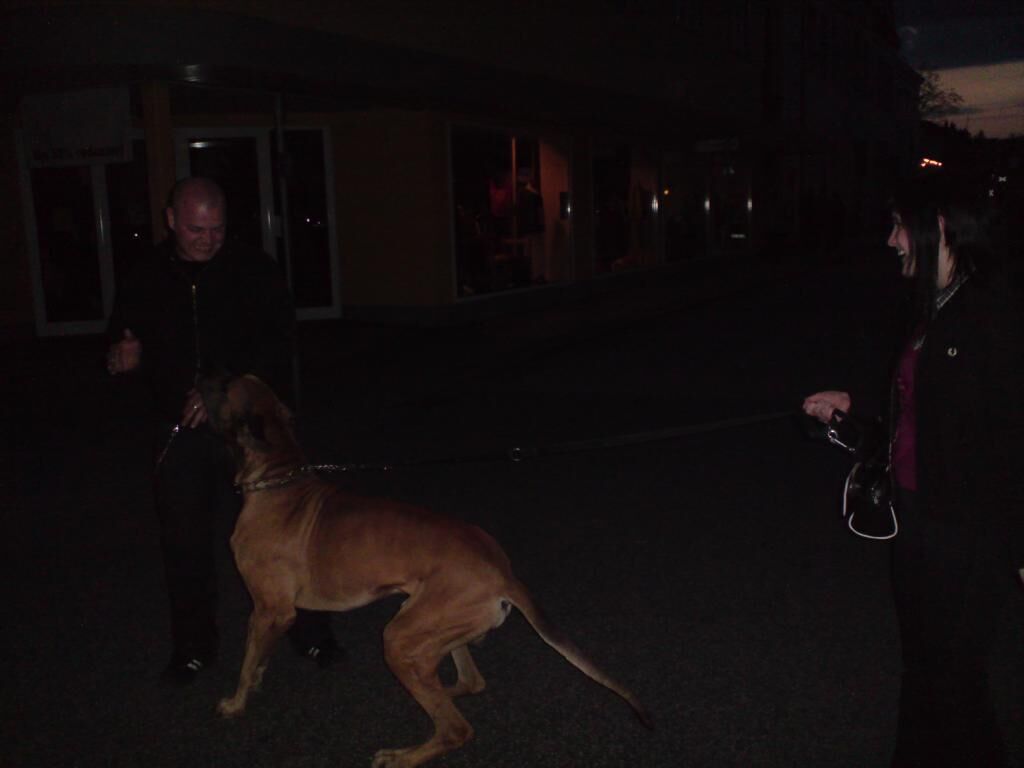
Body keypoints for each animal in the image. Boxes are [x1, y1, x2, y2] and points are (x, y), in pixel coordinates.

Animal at [200, 374, 652, 768]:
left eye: (225, 385)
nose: (201, 381)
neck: (278, 477)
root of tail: (503, 571)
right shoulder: (272, 615)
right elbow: (258, 659)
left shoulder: (269, 610)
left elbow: (246, 664)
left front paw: (235, 703)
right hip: (433, 626)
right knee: (466, 683)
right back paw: (438, 691)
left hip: (401, 635)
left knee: (455, 728)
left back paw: (403, 755)